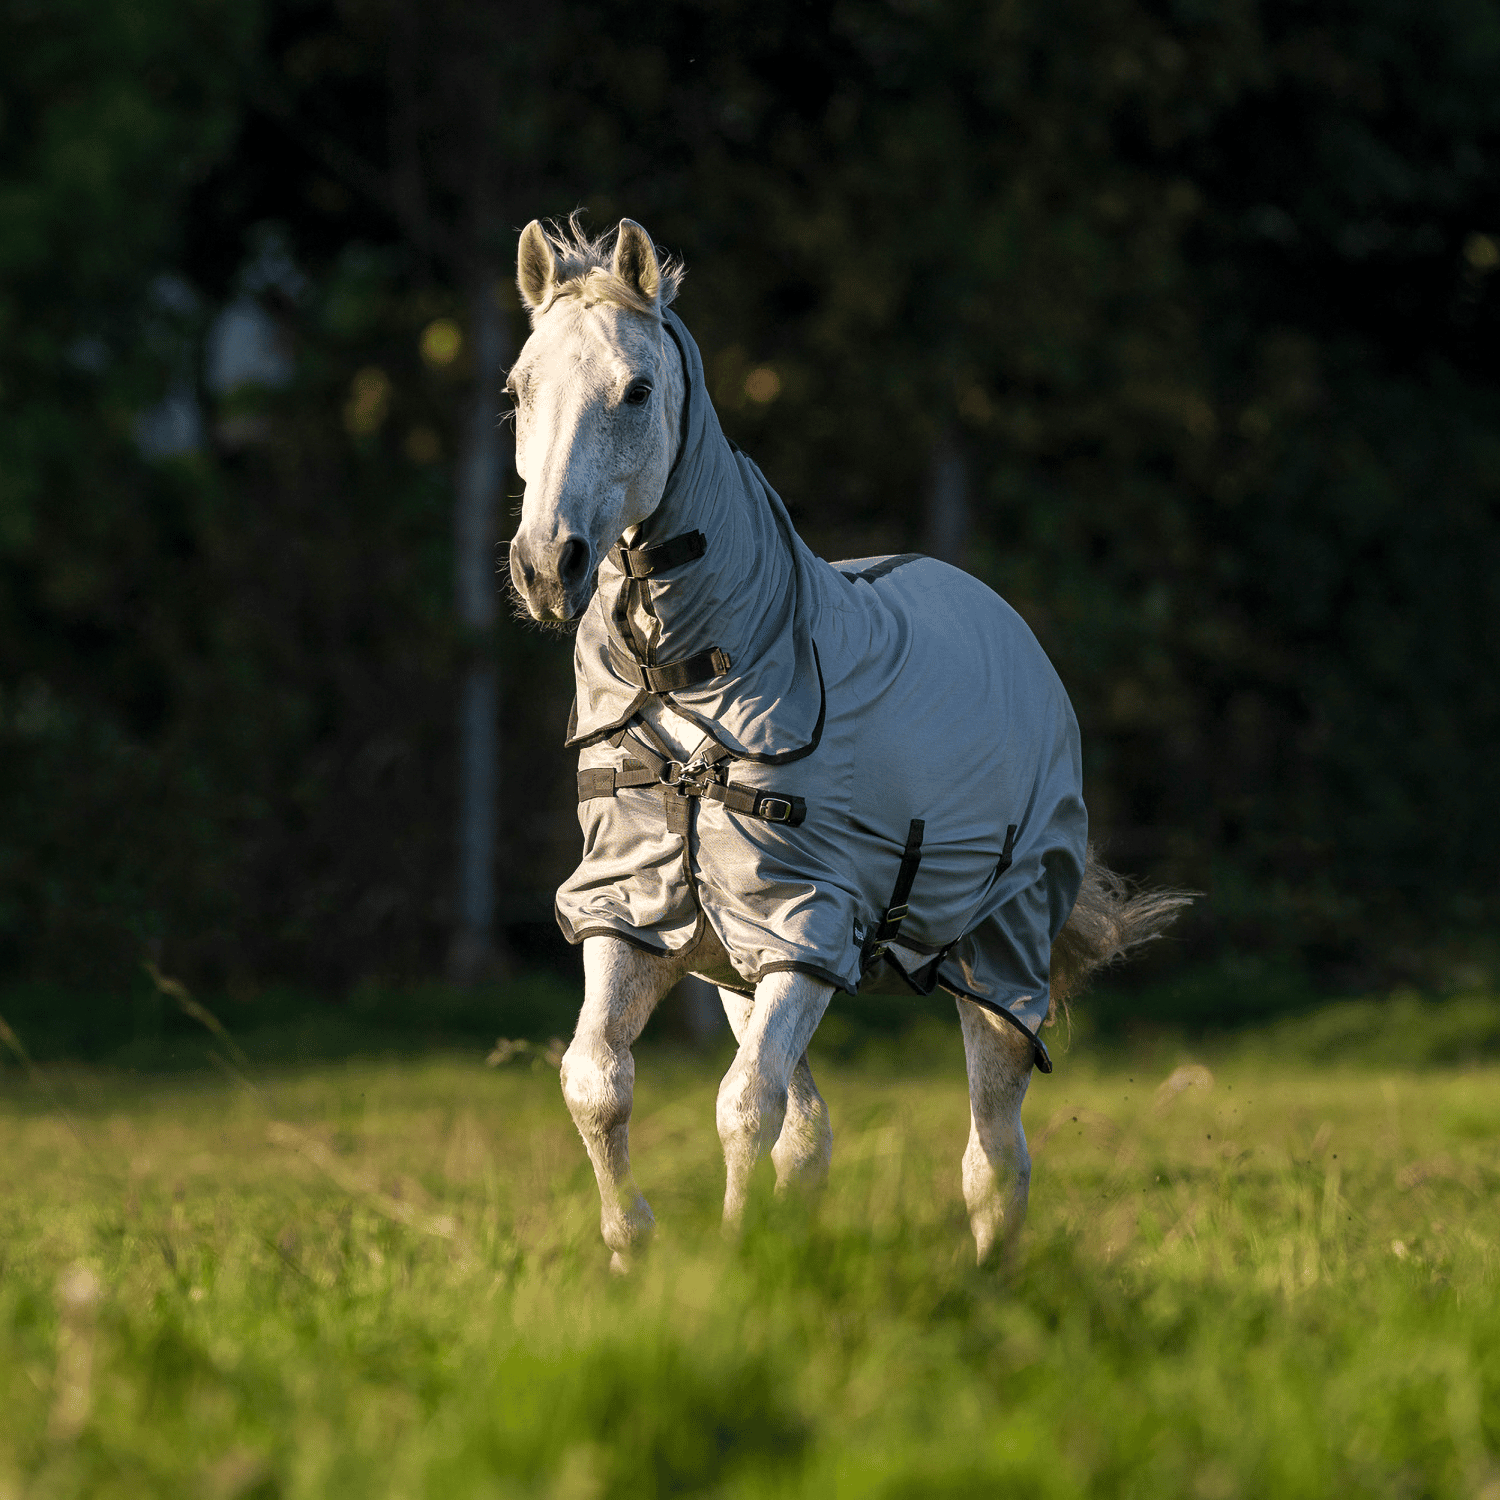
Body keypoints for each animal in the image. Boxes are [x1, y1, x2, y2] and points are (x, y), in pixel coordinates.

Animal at [504, 217, 1182, 1272]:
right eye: (519, 388)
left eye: (637, 389)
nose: (547, 567)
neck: (695, 684)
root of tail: (1011, 629)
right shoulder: (639, 914)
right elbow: (599, 1082)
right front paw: (632, 1252)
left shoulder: (808, 928)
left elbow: (743, 1107)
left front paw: (733, 1261)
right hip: (741, 970)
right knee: (814, 1135)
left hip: (1000, 959)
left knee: (995, 1156)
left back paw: (992, 1281)